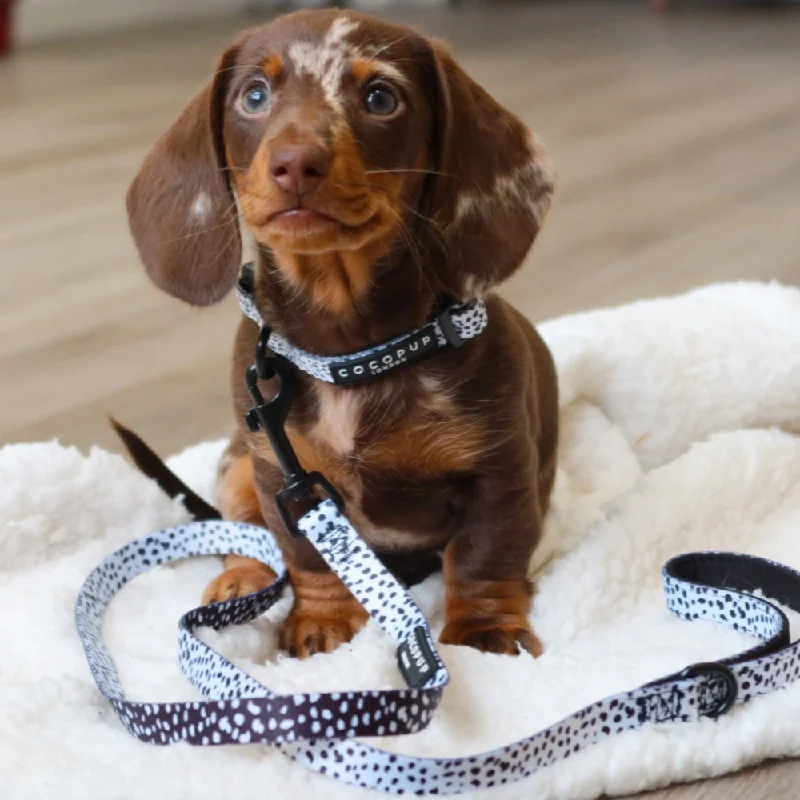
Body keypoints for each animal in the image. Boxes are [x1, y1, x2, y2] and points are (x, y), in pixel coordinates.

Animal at [128, 9, 560, 660]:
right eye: (254, 95)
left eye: (381, 97)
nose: (295, 163)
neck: (350, 352)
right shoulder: (285, 481)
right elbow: (308, 558)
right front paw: (324, 622)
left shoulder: (499, 473)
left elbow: (485, 557)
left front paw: (484, 632)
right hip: (237, 464)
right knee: (244, 536)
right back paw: (241, 579)